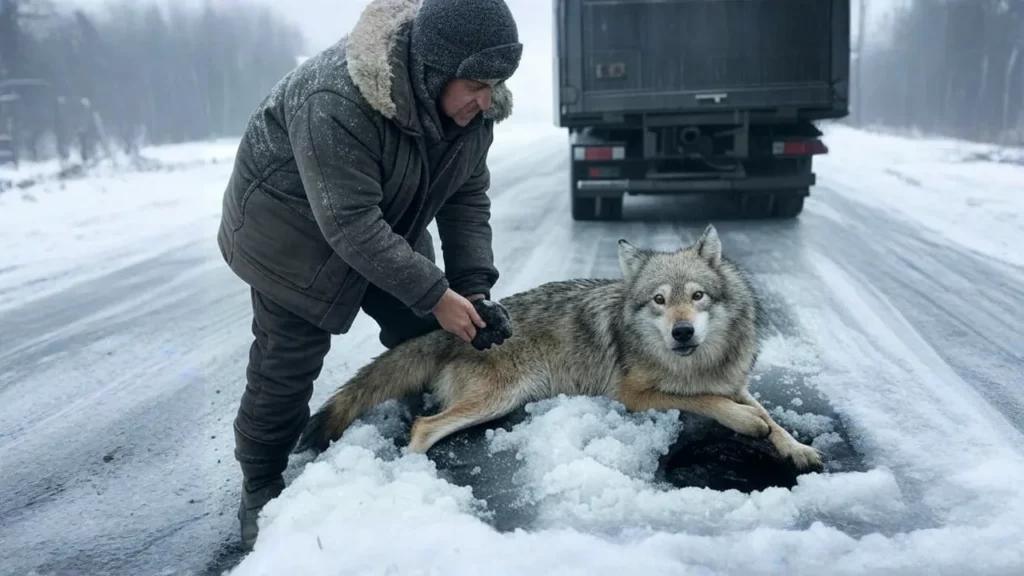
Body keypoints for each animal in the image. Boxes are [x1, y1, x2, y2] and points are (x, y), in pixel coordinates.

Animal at [294, 224, 823, 471]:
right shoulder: (634, 395)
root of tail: (457, 329)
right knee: (424, 427)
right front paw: (748, 424)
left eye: (697, 297)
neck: (699, 361)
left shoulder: (734, 381)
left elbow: (767, 413)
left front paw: (796, 448)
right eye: (658, 300)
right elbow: (710, 402)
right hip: (500, 397)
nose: (682, 333)